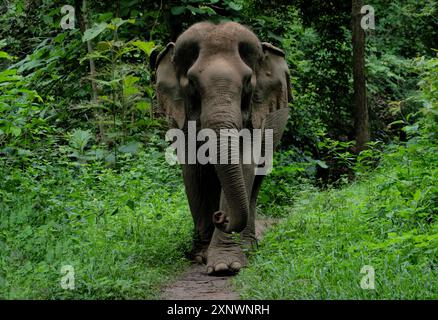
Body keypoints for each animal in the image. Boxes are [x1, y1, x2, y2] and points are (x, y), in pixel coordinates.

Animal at [154, 21, 290, 276]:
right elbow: (194, 171)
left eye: (247, 82)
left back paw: (248, 247)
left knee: (256, 182)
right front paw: (202, 257)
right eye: (192, 83)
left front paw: (225, 266)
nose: (221, 217)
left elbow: (245, 164)